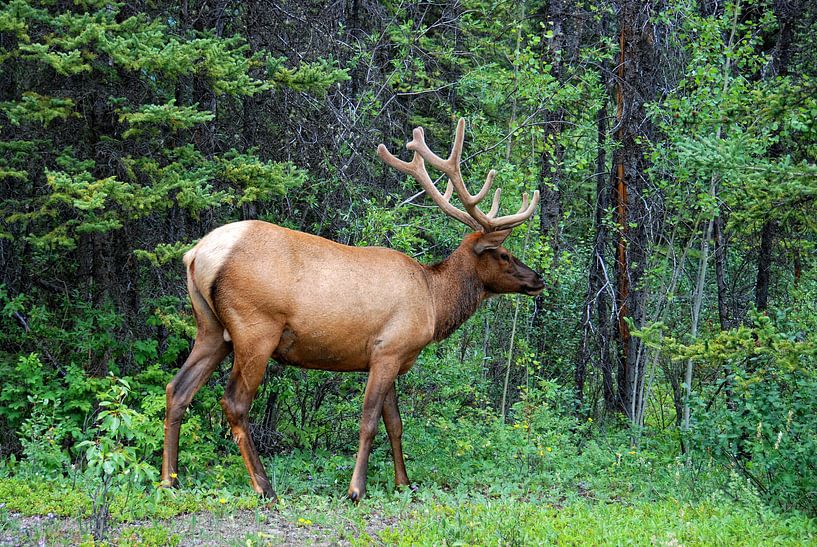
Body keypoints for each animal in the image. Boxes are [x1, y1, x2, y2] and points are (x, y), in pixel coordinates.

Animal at [161, 118, 543, 501]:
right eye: (504, 255)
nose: (538, 278)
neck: (434, 301)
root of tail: (196, 254)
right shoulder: (388, 350)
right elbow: (369, 422)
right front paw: (356, 489)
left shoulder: (390, 354)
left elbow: (395, 424)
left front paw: (403, 482)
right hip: (255, 328)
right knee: (234, 403)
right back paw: (264, 485)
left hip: (210, 328)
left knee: (177, 389)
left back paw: (170, 479)